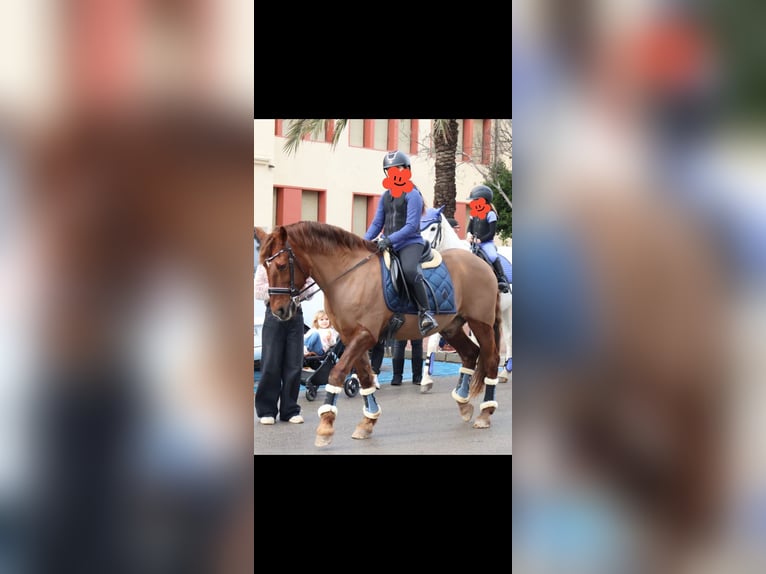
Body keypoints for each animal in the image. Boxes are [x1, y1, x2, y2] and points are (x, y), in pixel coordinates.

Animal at [254, 221, 502, 448]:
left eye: (282, 266)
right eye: (265, 267)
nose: (279, 311)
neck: (350, 276)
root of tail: (482, 264)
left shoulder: (365, 335)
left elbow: (337, 374)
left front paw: (326, 426)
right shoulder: (351, 337)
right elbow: (364, 378)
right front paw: (367, 422)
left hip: (481, 324)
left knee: (491, 359)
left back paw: (485, 414)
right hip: (451, 326)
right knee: (471, 354)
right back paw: (464, 404)